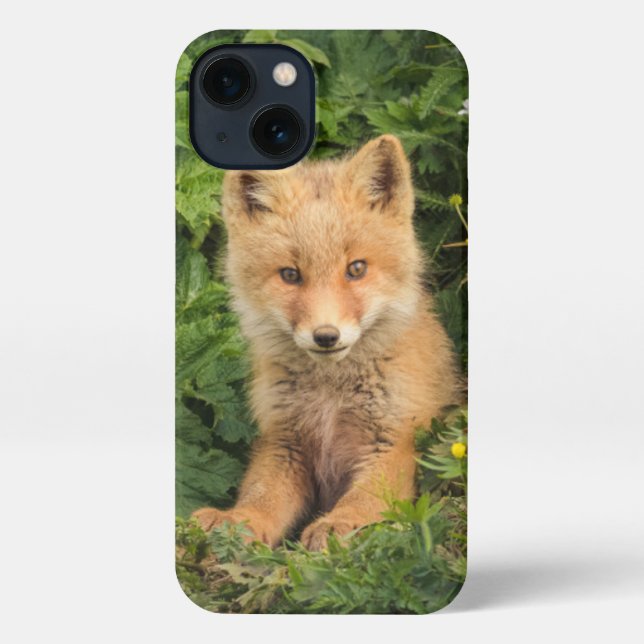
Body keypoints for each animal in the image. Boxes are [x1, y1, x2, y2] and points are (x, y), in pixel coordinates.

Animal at [192, 134, 461, 550]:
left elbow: (366, 498)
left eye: (356, 269)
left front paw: (341, 523)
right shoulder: (284, 442)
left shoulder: (395, 440)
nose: (326, 336)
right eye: (290, 275)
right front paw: (236, 521)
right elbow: (261, 497)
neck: (331, 395)